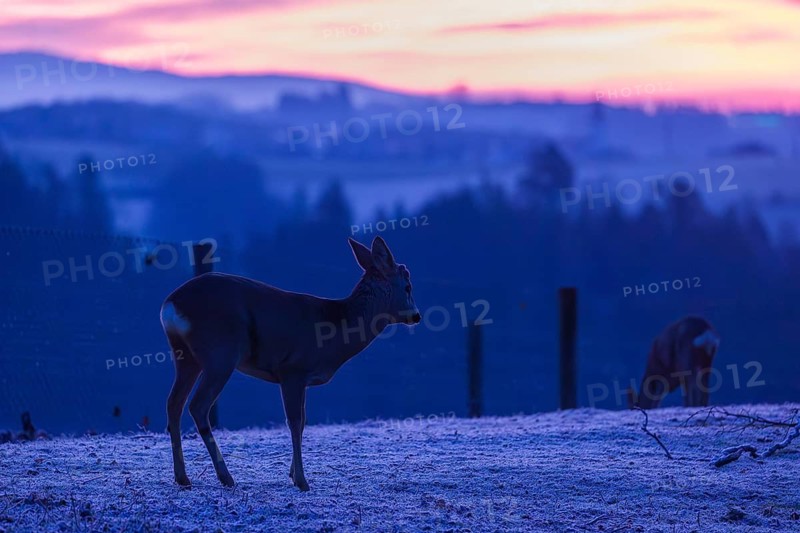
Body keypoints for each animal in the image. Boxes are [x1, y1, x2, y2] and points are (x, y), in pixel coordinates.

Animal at [160, 236, 420, 491]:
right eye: (408, 286)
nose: (416, 316)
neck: (335, 329)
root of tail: (170, 305)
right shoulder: (292, 370)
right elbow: (295, 422)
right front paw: (302, 481)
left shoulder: (299, 379)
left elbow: (302, 422)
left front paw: (293, 474)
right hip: (220, 355)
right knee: (198, 406)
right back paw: (226, 477)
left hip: (185, 356)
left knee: (174, 403)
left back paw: (182, 478)